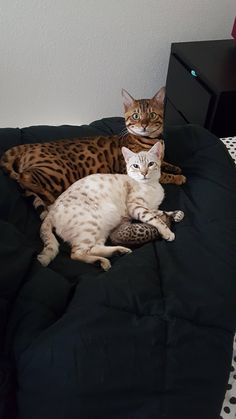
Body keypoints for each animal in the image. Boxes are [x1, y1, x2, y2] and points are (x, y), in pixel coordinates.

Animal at [0, 88, 185, 246]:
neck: (151, 140)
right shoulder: (127, 168)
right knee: (23, 177)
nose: (144, 125)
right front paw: (178, 177)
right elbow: (163, 174)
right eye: (136, 116)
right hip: (58, 173)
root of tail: (27, 146)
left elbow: (165, 163)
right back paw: (46, 195)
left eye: (152, 115)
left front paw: (175, 168)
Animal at [37, 143, 184, 270]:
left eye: (151, 164)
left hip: (103, 228)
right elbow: (154, 218)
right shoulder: (136, 207)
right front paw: (167, 232)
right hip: (92, 224)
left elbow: (160, 212)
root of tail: (50, 211)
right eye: (136, 166)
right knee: (76, 253)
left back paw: (117, 252)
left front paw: (176, 214)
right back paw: (104, 260)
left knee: (93, 248)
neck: (152, 187)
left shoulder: (151, 207)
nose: (144, 173)